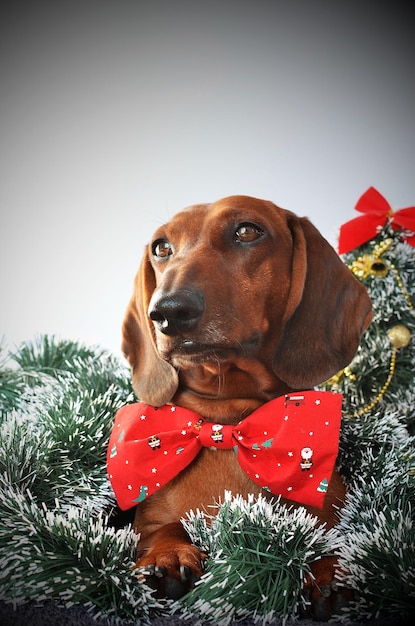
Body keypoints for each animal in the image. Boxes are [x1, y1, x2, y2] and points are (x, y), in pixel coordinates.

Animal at [118, 194, 372, 616]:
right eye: (161, 247)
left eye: (248, 231)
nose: (167, 311)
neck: (227, 421)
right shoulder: (148, 522)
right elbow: (165, 528)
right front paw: (166, 556)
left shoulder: (332, 515)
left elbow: (332, 541)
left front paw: (329, 571)